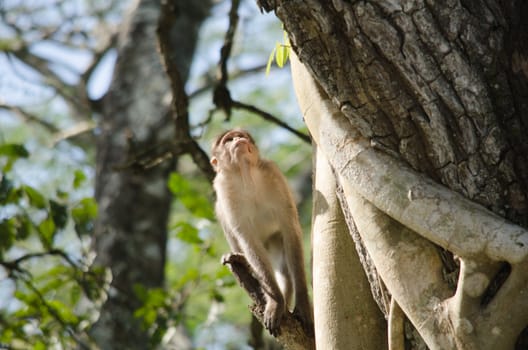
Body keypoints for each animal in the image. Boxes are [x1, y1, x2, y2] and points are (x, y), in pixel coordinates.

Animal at [210, 129, 314, 336]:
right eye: (228, 140)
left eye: (240, 135)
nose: (239, 139)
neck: (246, 175)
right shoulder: (224, 189)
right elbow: (247, 238)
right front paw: (275, 302)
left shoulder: (274, 174)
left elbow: (290, 228)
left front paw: (302, 305)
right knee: (220, 211)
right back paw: (241, 259)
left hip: (274, 240)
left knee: (284, 267)